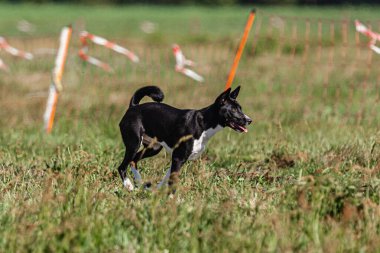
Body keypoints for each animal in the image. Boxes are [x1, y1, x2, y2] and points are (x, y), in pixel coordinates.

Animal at [117, 85, 251, 190]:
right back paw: (129, 186)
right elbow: (173, 182)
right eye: (233, 110)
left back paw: (139, 184)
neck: (202, 124)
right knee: (122, 167)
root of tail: (133, 107)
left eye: (240, 108)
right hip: (134, 144)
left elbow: (168, 179)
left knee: (133, 161)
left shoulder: (178, 159)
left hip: (153, 148)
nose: (249, 120)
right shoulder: (178, 158)